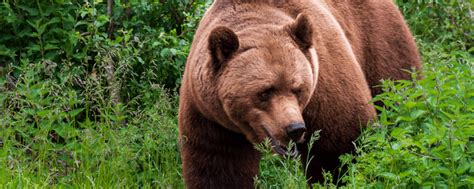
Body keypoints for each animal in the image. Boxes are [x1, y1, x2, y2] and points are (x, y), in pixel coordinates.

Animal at [180, 0, 420, 188]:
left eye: (298, 88)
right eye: (265, 92)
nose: (294, 128)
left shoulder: (325, 87)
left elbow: (341, 147)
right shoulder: (211, 118)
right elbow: (219, 169)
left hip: (381, 45)